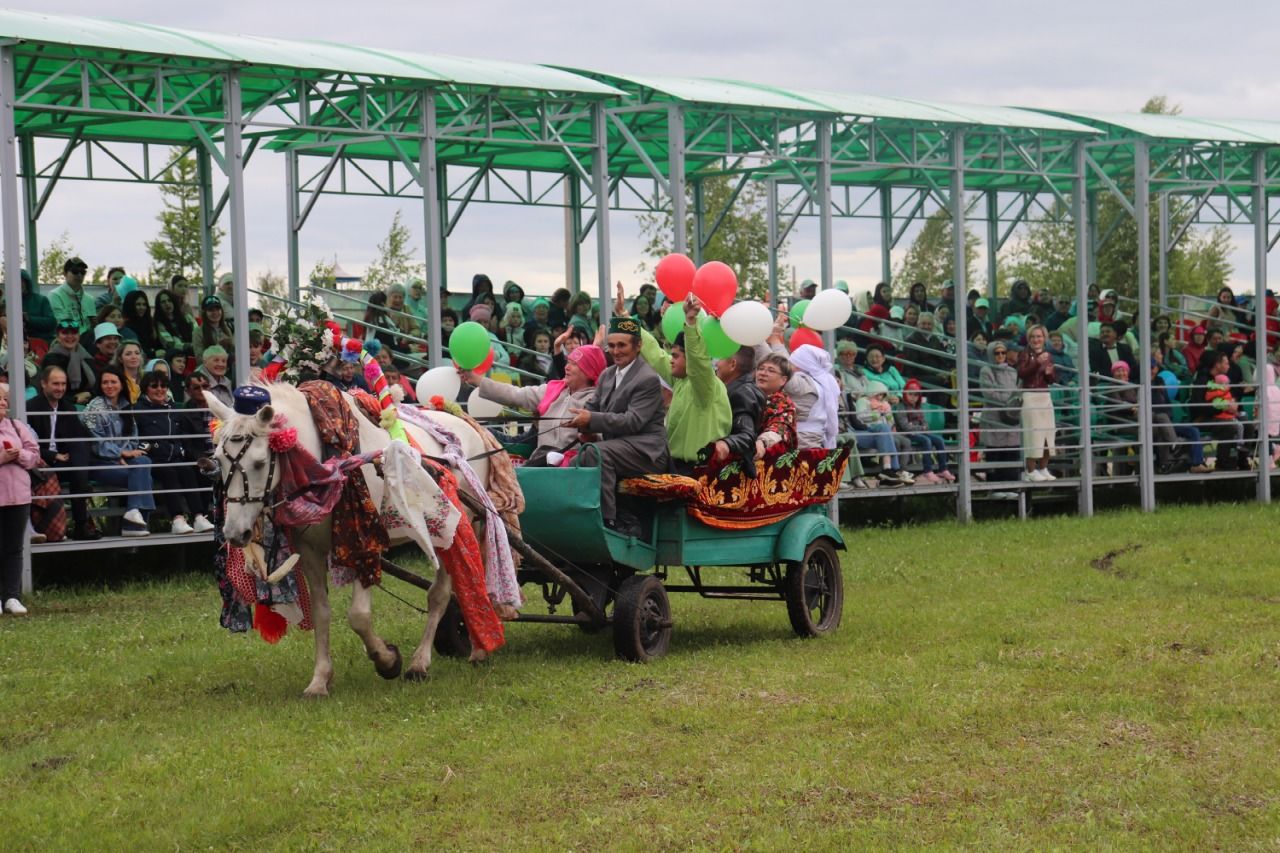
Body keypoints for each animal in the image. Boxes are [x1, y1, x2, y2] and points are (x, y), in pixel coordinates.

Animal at [207, 381, 491, 696]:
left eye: (259, 463)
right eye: (218, 459)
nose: (235, 533)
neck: (327, 467)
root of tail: (469, 425)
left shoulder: (363, 542)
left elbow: (358, 616)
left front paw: (387, 660)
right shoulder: (310, 550)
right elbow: (321, 612)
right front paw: (320, 679)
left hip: (452, 530)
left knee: (443, 593)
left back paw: (427, 661)